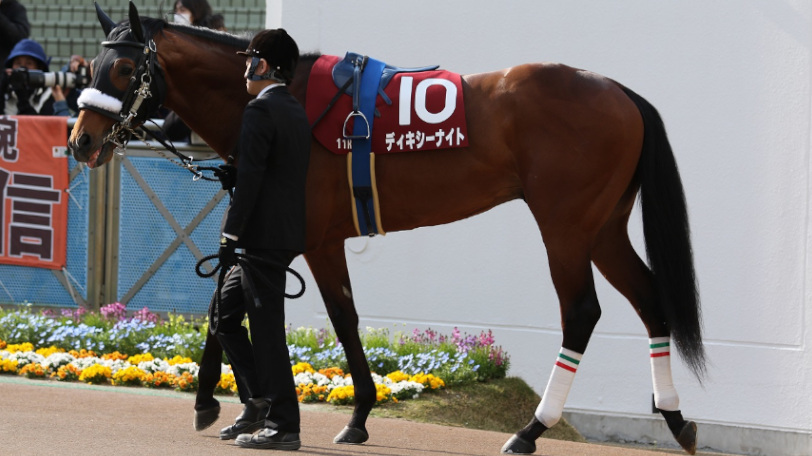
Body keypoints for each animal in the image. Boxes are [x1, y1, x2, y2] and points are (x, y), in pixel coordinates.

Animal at [68, 3, 704, 454]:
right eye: (94, 65)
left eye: (124, 67)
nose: (81, 141)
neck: (286, 97)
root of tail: (621, 91)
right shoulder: (269, 239)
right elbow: (235, 308)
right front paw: (244, 411)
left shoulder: (311, 241)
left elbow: (337, 319)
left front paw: (335, 415)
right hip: (604, 227)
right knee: (650, 299)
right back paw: (676, 419)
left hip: (566, 227)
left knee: (581, 313)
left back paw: (530, 430)